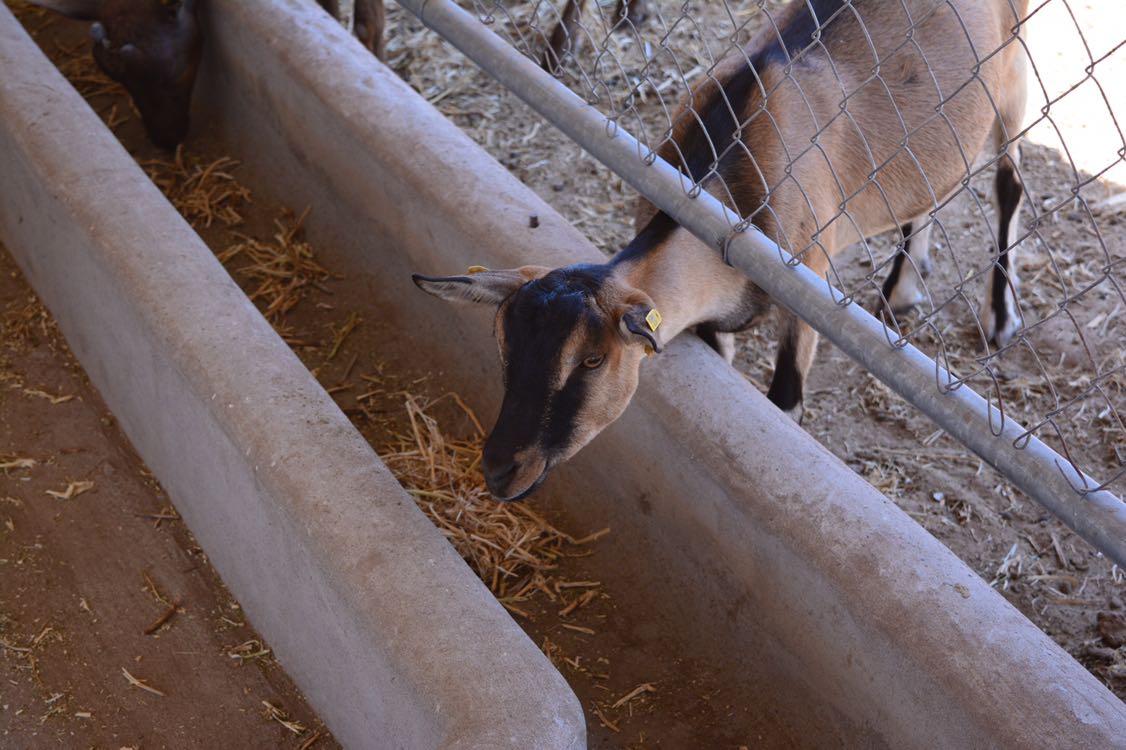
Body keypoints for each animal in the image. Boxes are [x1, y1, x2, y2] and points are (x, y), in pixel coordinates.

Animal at [415, 0, 1028, 501]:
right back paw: (902, 289)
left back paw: (999, 315)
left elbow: (786, 402)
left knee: (1008, 180)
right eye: (504, 345)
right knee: (934, 188)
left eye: (591, 360)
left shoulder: (808, 286)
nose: (500, 470)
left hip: (1014, 81)